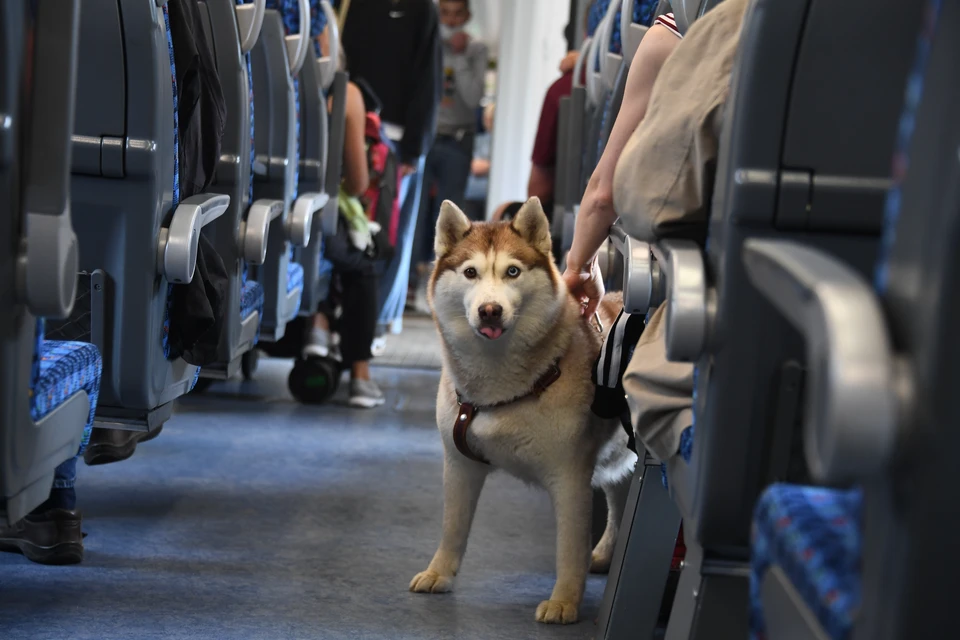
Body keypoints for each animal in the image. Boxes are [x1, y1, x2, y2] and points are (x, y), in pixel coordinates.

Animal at [406, 198, 636, 624]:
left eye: (512, 271)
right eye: (470, 272)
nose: (490, 310)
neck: (501, 388)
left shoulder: (570, 478)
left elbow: (568, 549)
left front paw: (565, 601)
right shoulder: (459, 465)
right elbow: (453, 527)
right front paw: (439, 572)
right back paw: (605, 553)